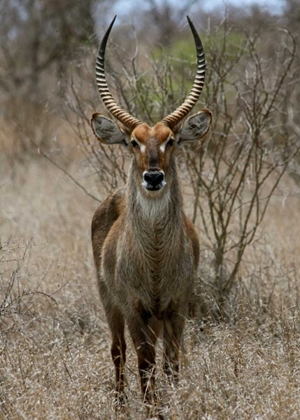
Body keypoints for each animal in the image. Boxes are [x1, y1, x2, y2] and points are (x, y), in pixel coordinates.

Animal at [91, 15, 211, 414]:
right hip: (109, 302)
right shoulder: (134, 310)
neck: (156, 257)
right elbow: (145, 366)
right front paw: (151, 410)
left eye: (171, 139)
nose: (154, 176)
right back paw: (119, 407)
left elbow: (172, 365)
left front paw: (171, 405)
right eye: (133, 141)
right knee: (118, 352)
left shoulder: (176, 308)